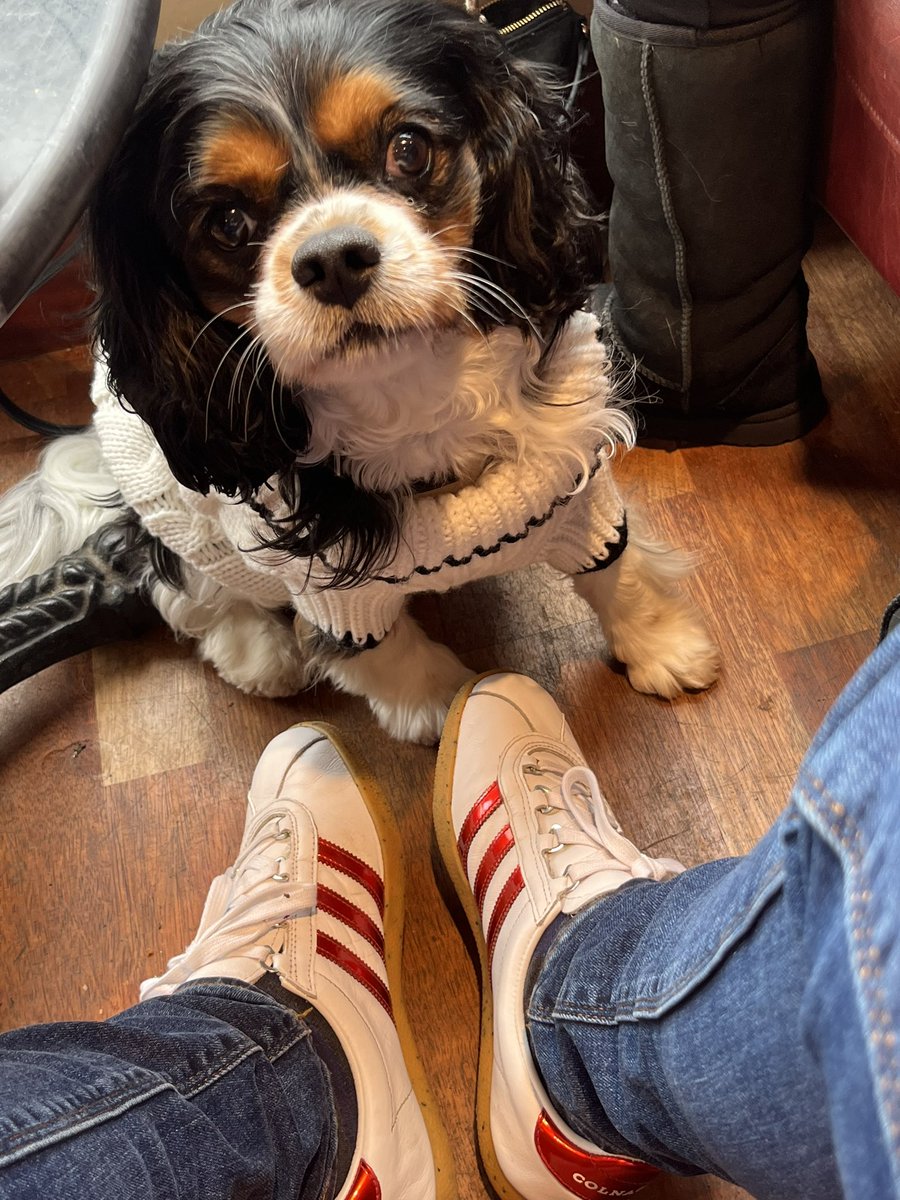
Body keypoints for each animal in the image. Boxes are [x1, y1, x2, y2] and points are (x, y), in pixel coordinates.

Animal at [0, 0, 720, 739]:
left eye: (407, 148)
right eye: (227, 220)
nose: (333, 258)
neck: (409, 387)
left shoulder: (573, 487)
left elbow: (616, 571)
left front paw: (662, 647)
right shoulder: (325, 584)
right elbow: (382, 651)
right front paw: (443, 711)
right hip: (182, 519)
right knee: (174, 585)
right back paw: (262, 654)